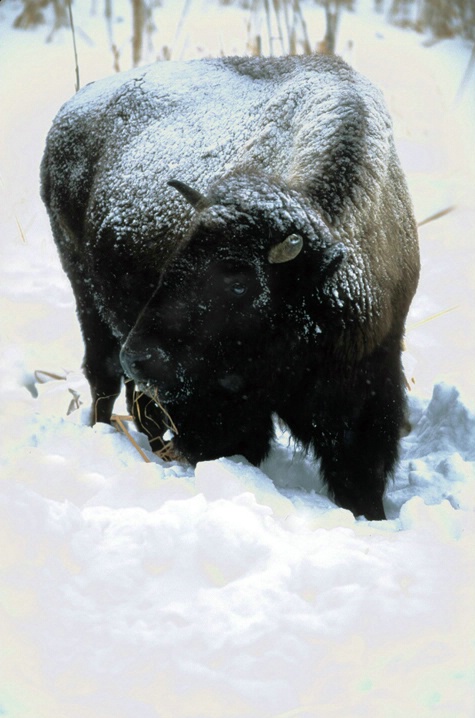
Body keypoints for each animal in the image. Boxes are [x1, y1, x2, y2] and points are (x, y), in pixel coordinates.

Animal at [41, 53, 420, 520]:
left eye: (238, 281)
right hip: (85, 295)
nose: (141, 357)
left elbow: (360, 470)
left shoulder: (368, 375)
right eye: (177, 256)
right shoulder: (216, 400)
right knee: (104, 379)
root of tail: (73, 108)